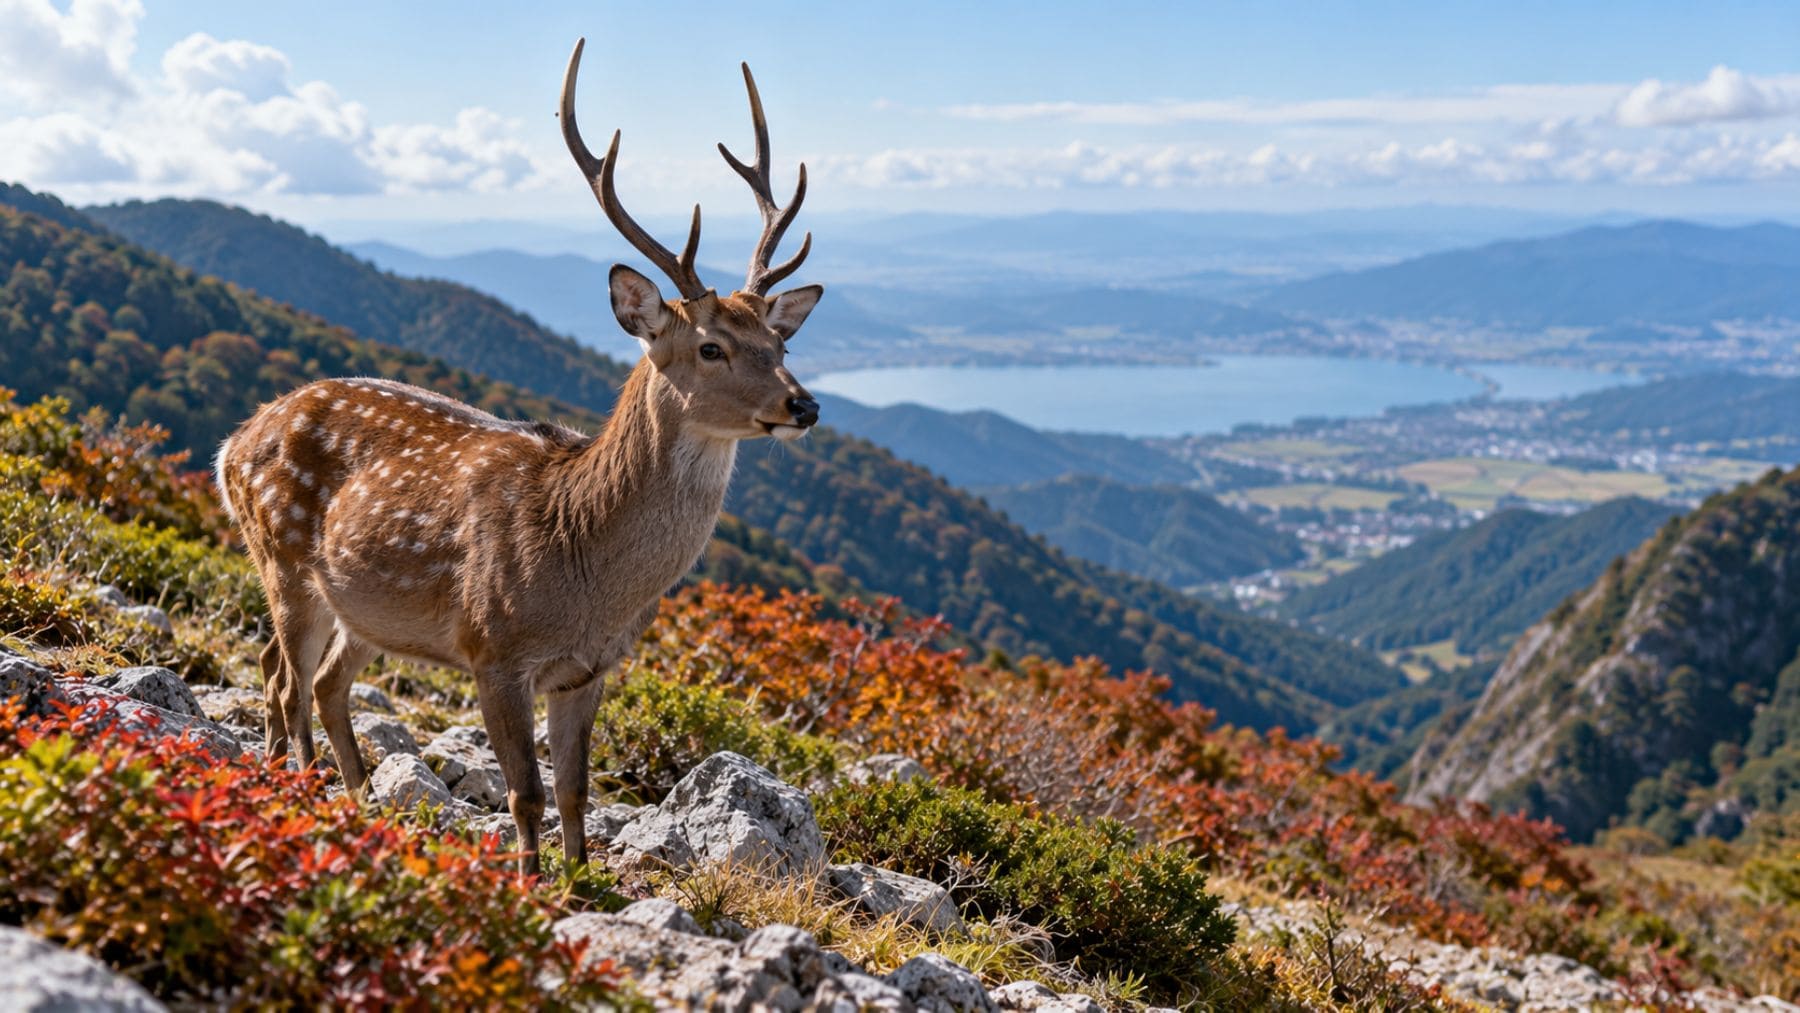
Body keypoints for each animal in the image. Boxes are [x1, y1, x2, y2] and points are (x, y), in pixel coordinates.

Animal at [214, 37, 823, 874]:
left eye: (781, 342)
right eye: (711, 346)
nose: (804, 405)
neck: (582, 568)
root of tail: (233, 442)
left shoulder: (589, 669)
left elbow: (574, 789)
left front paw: (578, 881)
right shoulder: (492, 646)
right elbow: (525, 793)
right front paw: (530, 885)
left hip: (360, 605)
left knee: (326, 683)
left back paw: (358, 803)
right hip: (279, 556)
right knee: (284, 679)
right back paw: (296, 791)